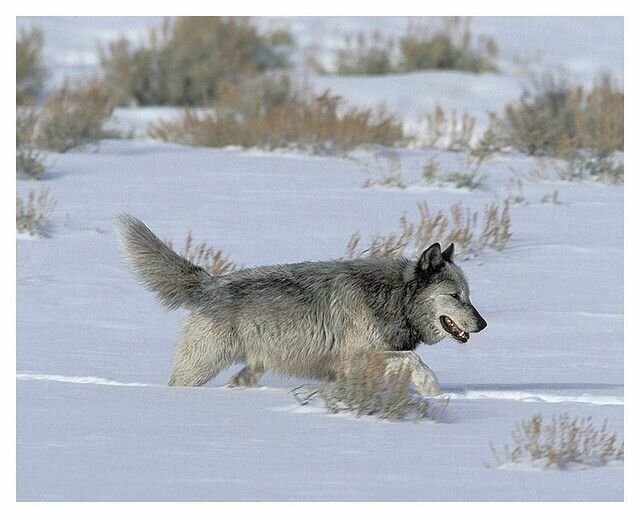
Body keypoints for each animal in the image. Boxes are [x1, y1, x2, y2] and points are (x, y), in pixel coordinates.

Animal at [115, 213, 488, 396]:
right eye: (456, 297)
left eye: (469, 296)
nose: (483, 324)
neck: (391, 298)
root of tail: (210, 282)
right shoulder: (356, 357)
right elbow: (415, 360)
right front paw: (432, 390)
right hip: (201, 367)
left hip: (252, 367)